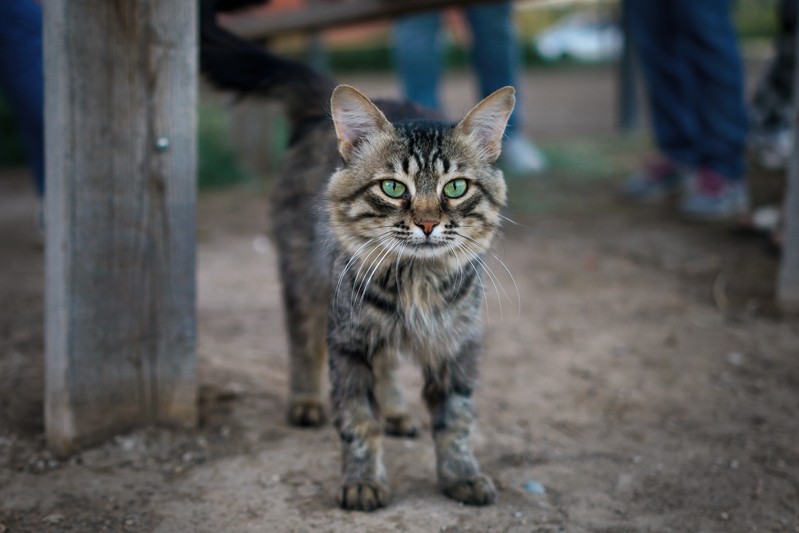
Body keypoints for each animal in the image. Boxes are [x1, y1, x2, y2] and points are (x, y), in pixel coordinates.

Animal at [200, 5, 512, 512]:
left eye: (455, 187)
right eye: (393, 187)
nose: (428, 224)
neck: (415, 281)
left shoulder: (455, 342)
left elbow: (457, 419)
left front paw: (462, 475)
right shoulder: (348, 339)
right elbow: (358, 421)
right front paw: (362, 481)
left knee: (387, 365)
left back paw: (397, 411)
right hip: (304, 279)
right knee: (301, 341)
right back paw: (306, 402)